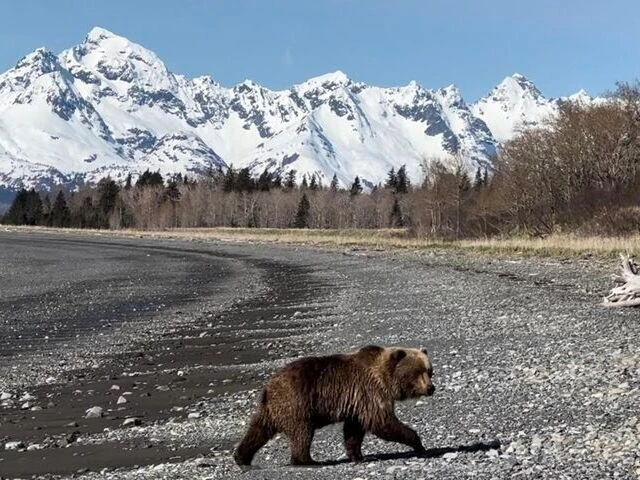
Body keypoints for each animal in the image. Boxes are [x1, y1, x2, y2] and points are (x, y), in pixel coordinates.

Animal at [233, 345, 435, 466]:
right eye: (417, 371)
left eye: (429, 371)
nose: (431, 388)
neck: (385, 378)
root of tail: (268, 386)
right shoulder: (370, 391)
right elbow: (382, 421)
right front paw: (418, 443)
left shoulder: (357, 402)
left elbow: (354, 430)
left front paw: (360, 456)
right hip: (297, 402)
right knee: (302, 432)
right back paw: (308, 460)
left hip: (269, 409)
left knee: (257, 430)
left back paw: (241, 457)